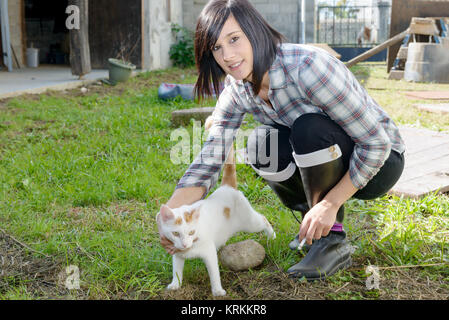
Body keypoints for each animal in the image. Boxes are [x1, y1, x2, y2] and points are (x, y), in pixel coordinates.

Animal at [158, 116, 276, 296]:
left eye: (191, 232)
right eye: (176, 233)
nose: (184, 244)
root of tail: (227, 186)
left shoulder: (209, 253)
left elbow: (214, 274)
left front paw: (218, 291)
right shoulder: (177, 254)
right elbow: (176, 270)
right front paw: (175, 285)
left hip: (250, 222)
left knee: (262, 219)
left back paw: (272, 236)